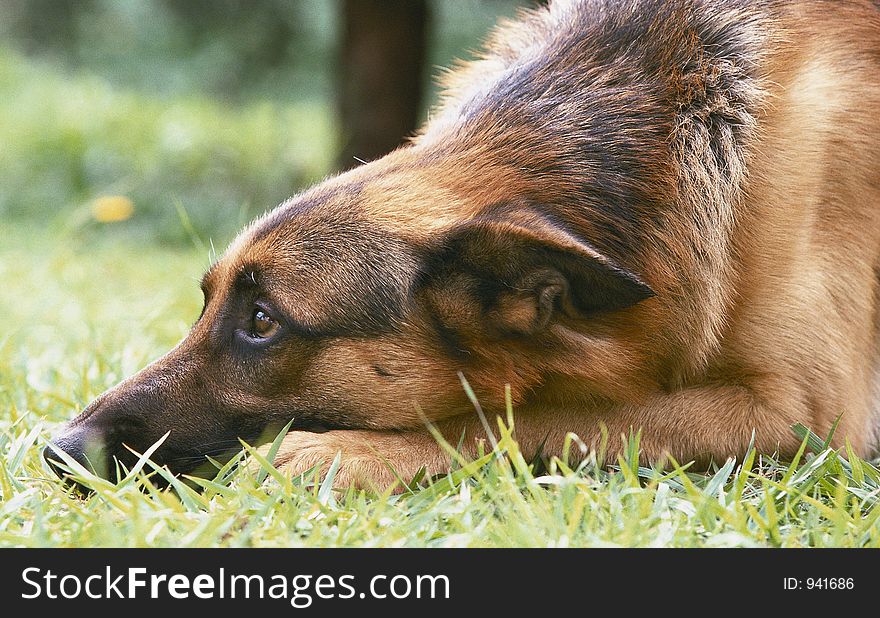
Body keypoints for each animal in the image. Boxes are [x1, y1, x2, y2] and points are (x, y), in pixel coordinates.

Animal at [43, 1, 880, 490]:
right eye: (207, 304)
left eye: (262, 321)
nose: (59, 449)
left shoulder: (798, 418)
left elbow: (548, 416)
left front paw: (358, 451)